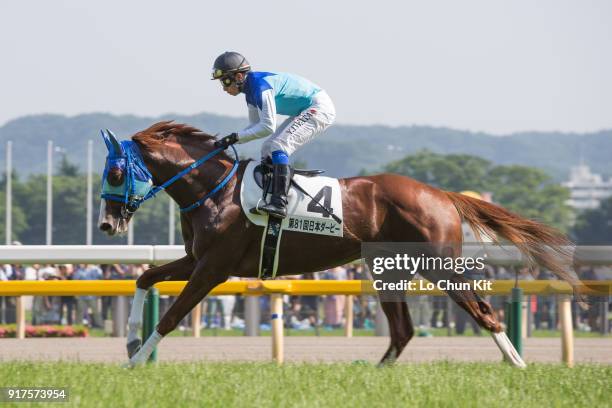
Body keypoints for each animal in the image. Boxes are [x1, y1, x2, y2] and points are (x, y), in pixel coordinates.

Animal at [98, 120, 576, 366]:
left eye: (116, 173)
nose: (105, 224)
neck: (215, 189)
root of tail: (440, 193)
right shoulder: (195, 259)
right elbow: (145, 277)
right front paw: (130, 342)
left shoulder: (213, 268)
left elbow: (172, 315)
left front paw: (135, 362)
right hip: (387, 272)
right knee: (403, 330)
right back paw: (377, 374)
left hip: (438, 264)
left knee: (482, 311)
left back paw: (516, 363)